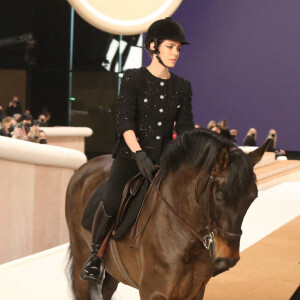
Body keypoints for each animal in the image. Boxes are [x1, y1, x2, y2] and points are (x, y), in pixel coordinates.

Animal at [65, 129, 270, 300]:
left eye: (252, 197)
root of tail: (84, 168)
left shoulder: (196, 292)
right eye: (219, 197)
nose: (229, 258)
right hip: (81, 259)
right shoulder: (154, 293)